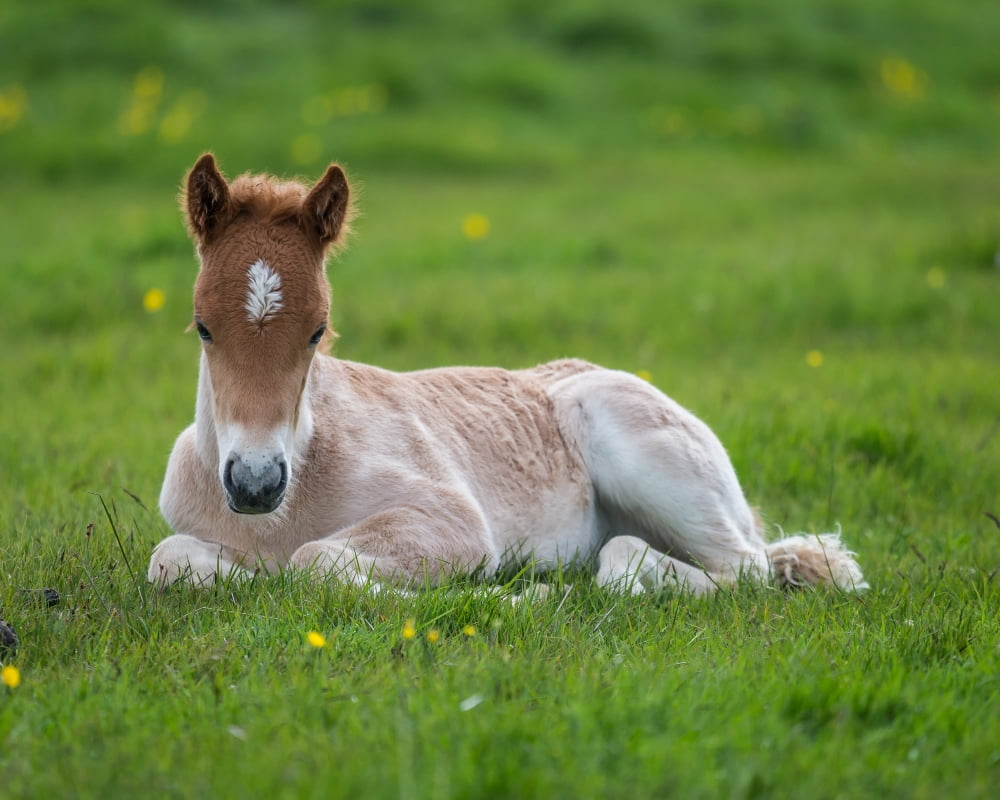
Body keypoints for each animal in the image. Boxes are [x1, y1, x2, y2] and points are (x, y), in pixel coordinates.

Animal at [147, 153, 867, 595]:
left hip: (652, 462)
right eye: (203, 326)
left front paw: (510, 597)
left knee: (743, 569)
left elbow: (313, 561)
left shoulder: (454, 522)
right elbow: (170, 561)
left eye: (318, 332)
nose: (256, 482)